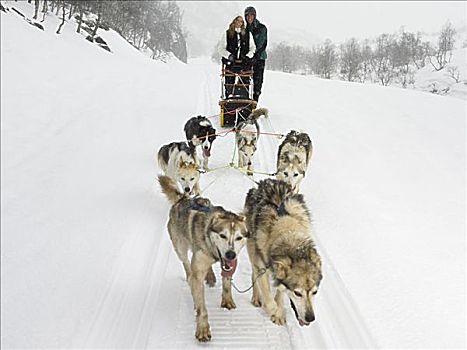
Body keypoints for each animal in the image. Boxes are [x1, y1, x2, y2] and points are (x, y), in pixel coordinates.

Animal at [158, 175, 252, 342]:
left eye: (239, 238)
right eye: (223, 235)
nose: (230, 254)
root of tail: (182, 199)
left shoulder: (229, 265)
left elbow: (227, 284)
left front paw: (227, 300)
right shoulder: (199, 270)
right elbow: (202, 309)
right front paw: (202, 329)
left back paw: (211, 276)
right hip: (180, 248)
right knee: (187, 265)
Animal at [245, 179, 322, 326]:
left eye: (315, 292)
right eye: (297, 293)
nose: (311, 318)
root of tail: (267, 181)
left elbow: (280, 291)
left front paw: (279, 312)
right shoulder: (262, 267)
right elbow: (269, 302)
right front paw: (274, 310)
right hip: (252, 249)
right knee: (254, 273)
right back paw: (256, 297)